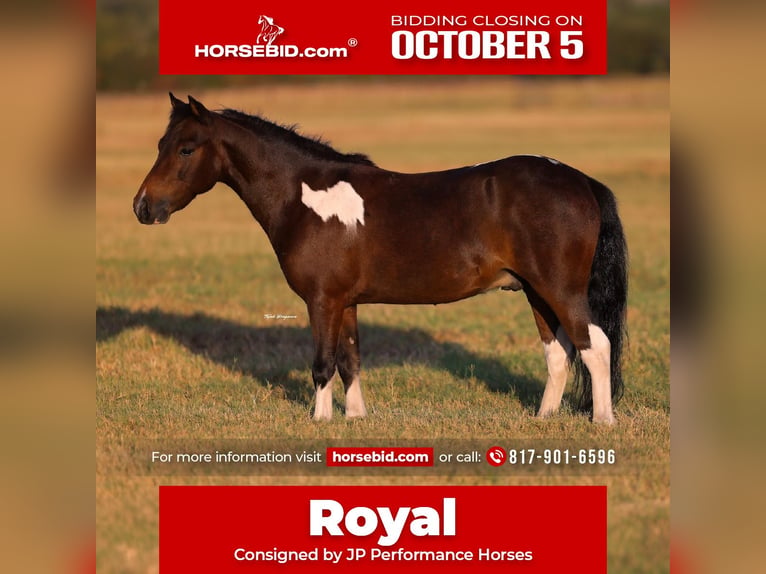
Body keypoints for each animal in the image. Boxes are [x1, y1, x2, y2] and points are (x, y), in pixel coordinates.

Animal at [133, 94, 628, 424]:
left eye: (186, 149)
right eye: (159, 144)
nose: (142, 207)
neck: (304, 197)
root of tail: (580, 180)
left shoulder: (322, 301)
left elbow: (322, 363)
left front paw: (320, 422)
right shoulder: (346, 302)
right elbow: (350, 359)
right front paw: (355, 419)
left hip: (560, 290)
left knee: (595, 346)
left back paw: (602, 421)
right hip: (535, 292)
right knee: (560, 353)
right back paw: (543, 419)